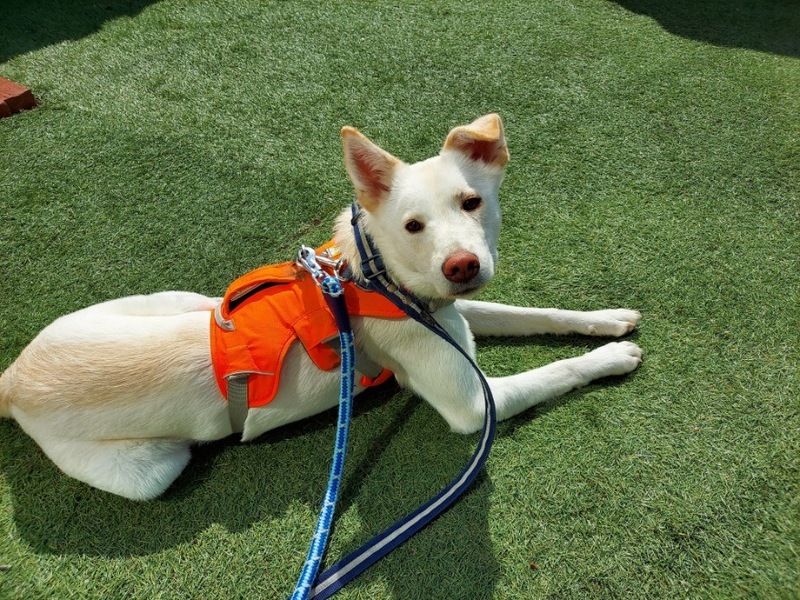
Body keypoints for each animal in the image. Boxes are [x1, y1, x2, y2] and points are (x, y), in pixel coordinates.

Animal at [0, 114, 642, 500]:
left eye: (471, 201)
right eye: (413, 225)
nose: (461, 266)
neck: (382, 278)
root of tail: (12, 378)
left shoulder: (453, 310)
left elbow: (534, 314)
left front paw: (606, 320)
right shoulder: (472, 405)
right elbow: (555, 371)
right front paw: (613, 357)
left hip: (176, 301)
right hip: (152, 471)